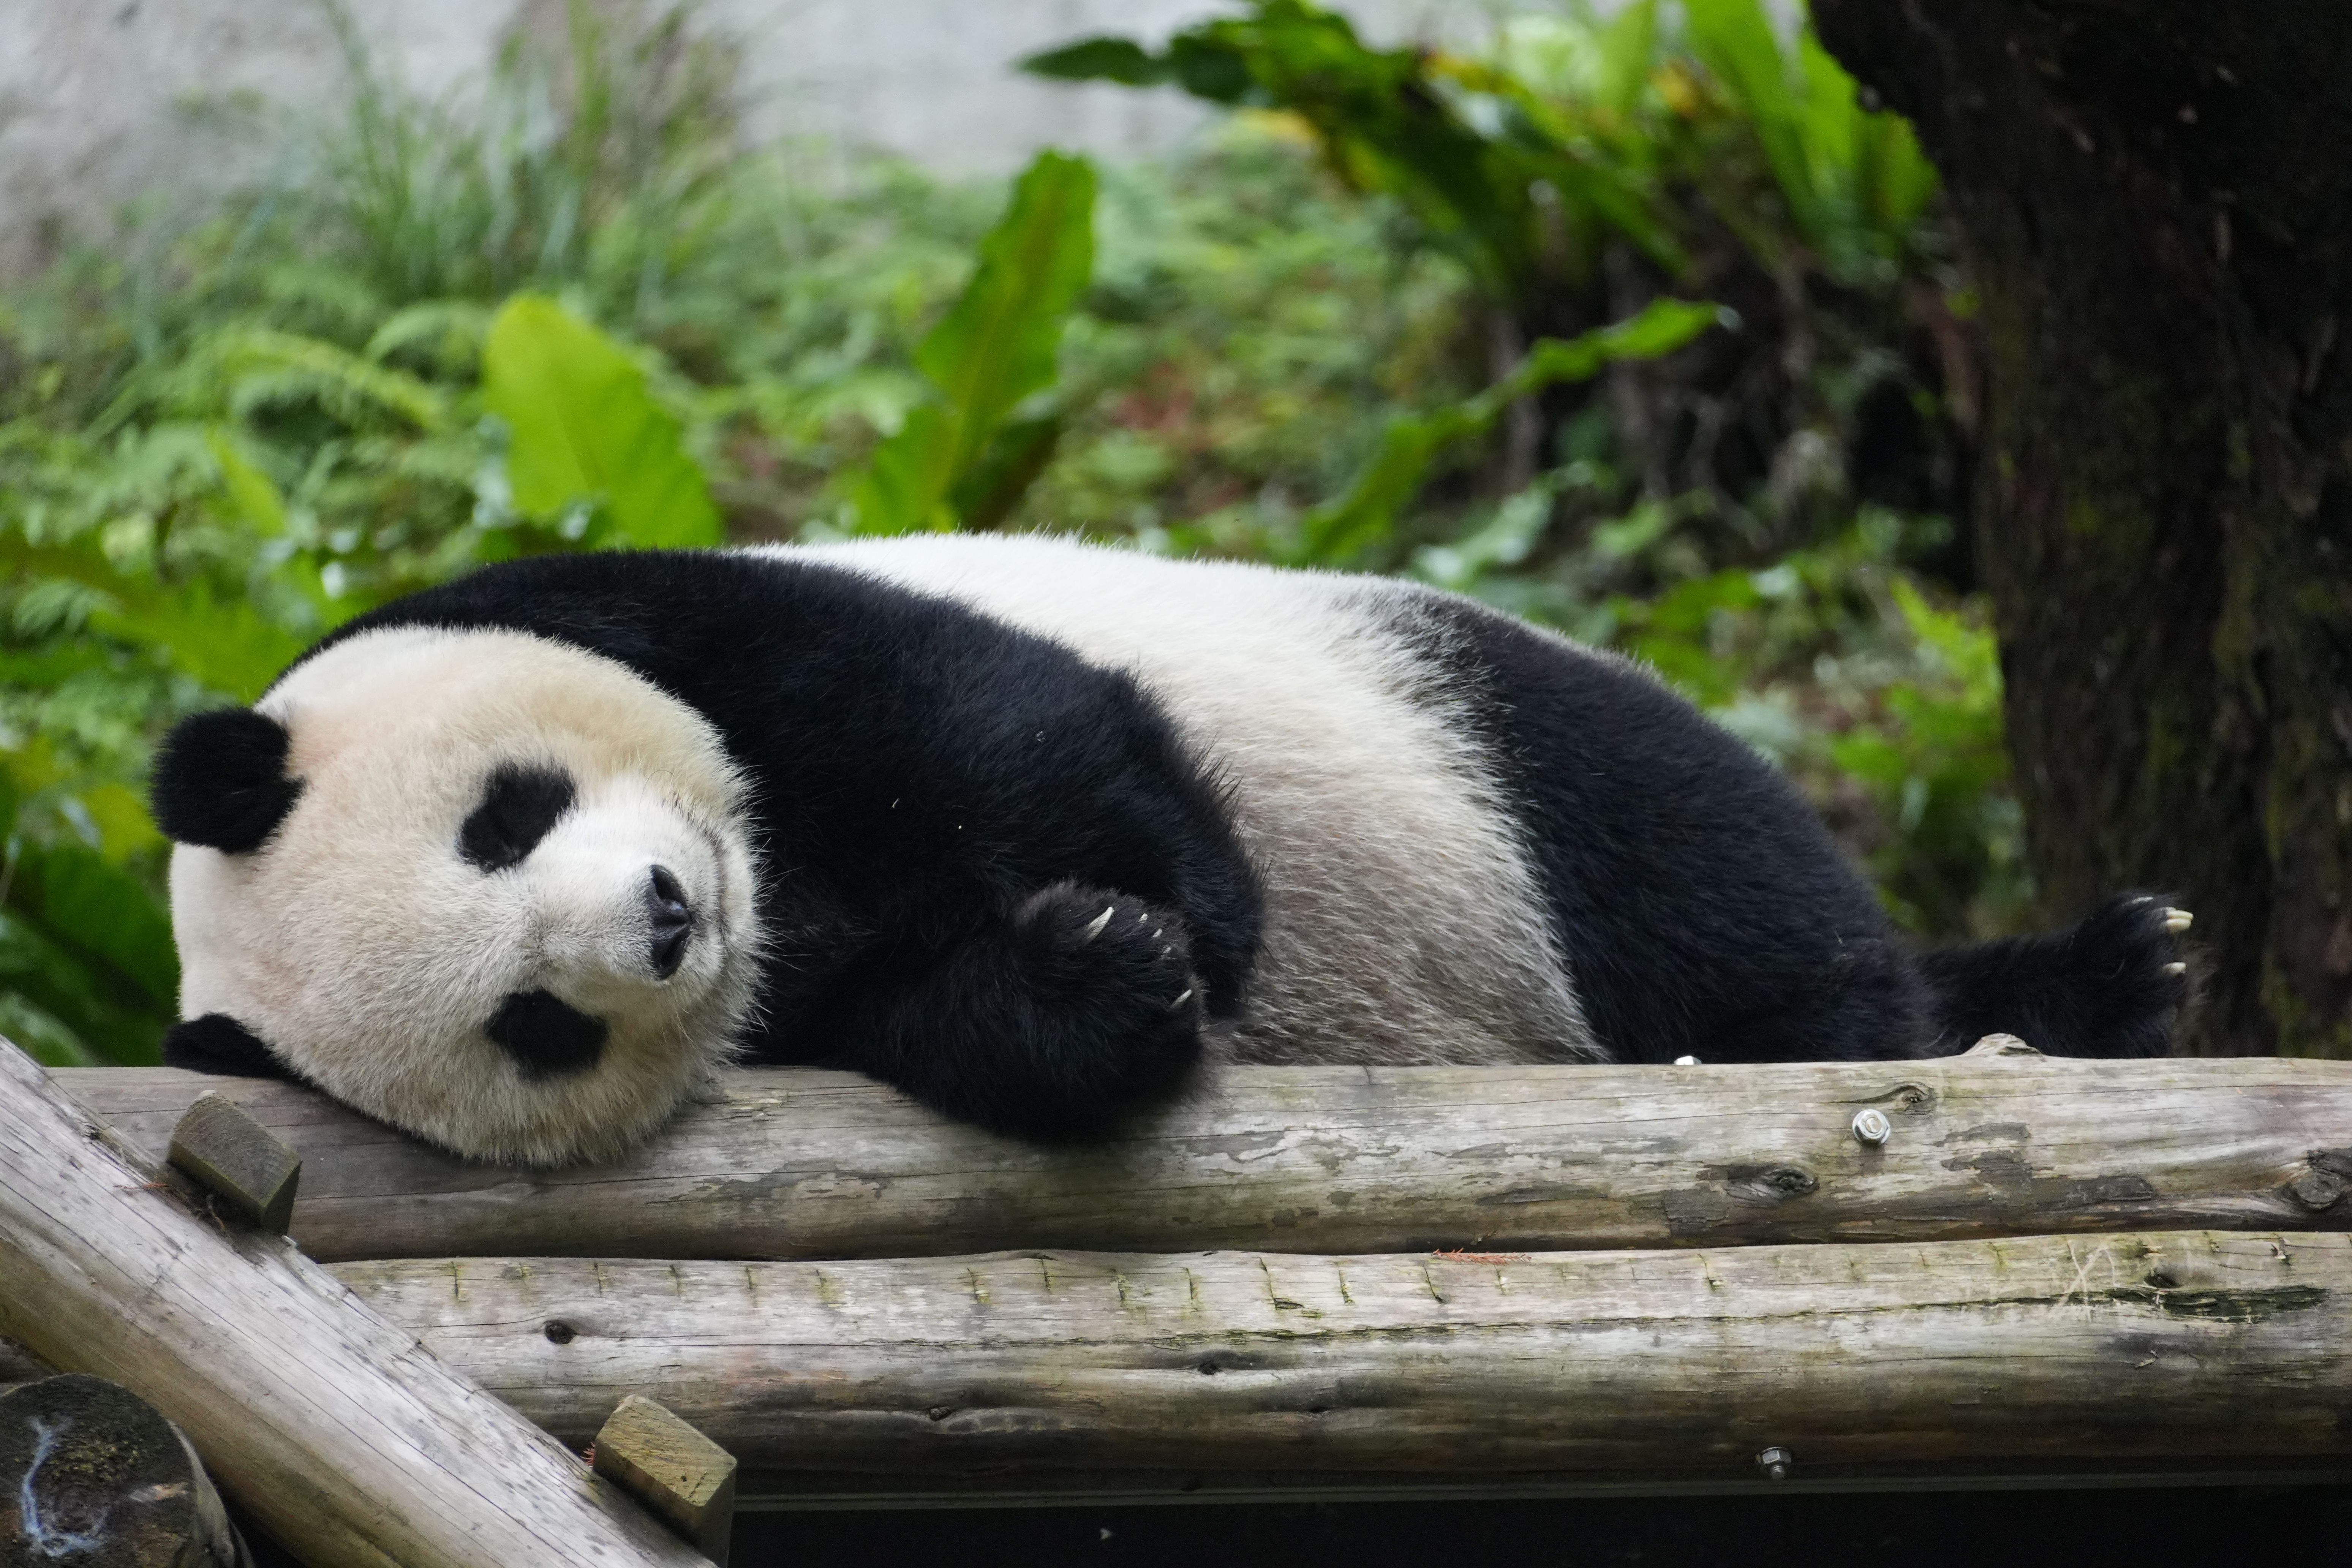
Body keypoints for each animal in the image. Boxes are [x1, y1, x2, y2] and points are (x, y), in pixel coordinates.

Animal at [147, 534, 2191, 1165]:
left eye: (504, 815)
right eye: (533, 1025)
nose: (663, 918)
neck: (781, 891)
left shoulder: (674, 615)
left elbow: (1003, 726)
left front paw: (1174, 913)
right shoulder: (802, 1012)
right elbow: (951, 1020)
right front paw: (1101, 974)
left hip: (1450, 728)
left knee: (1699, 880)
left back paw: (2063, 987)